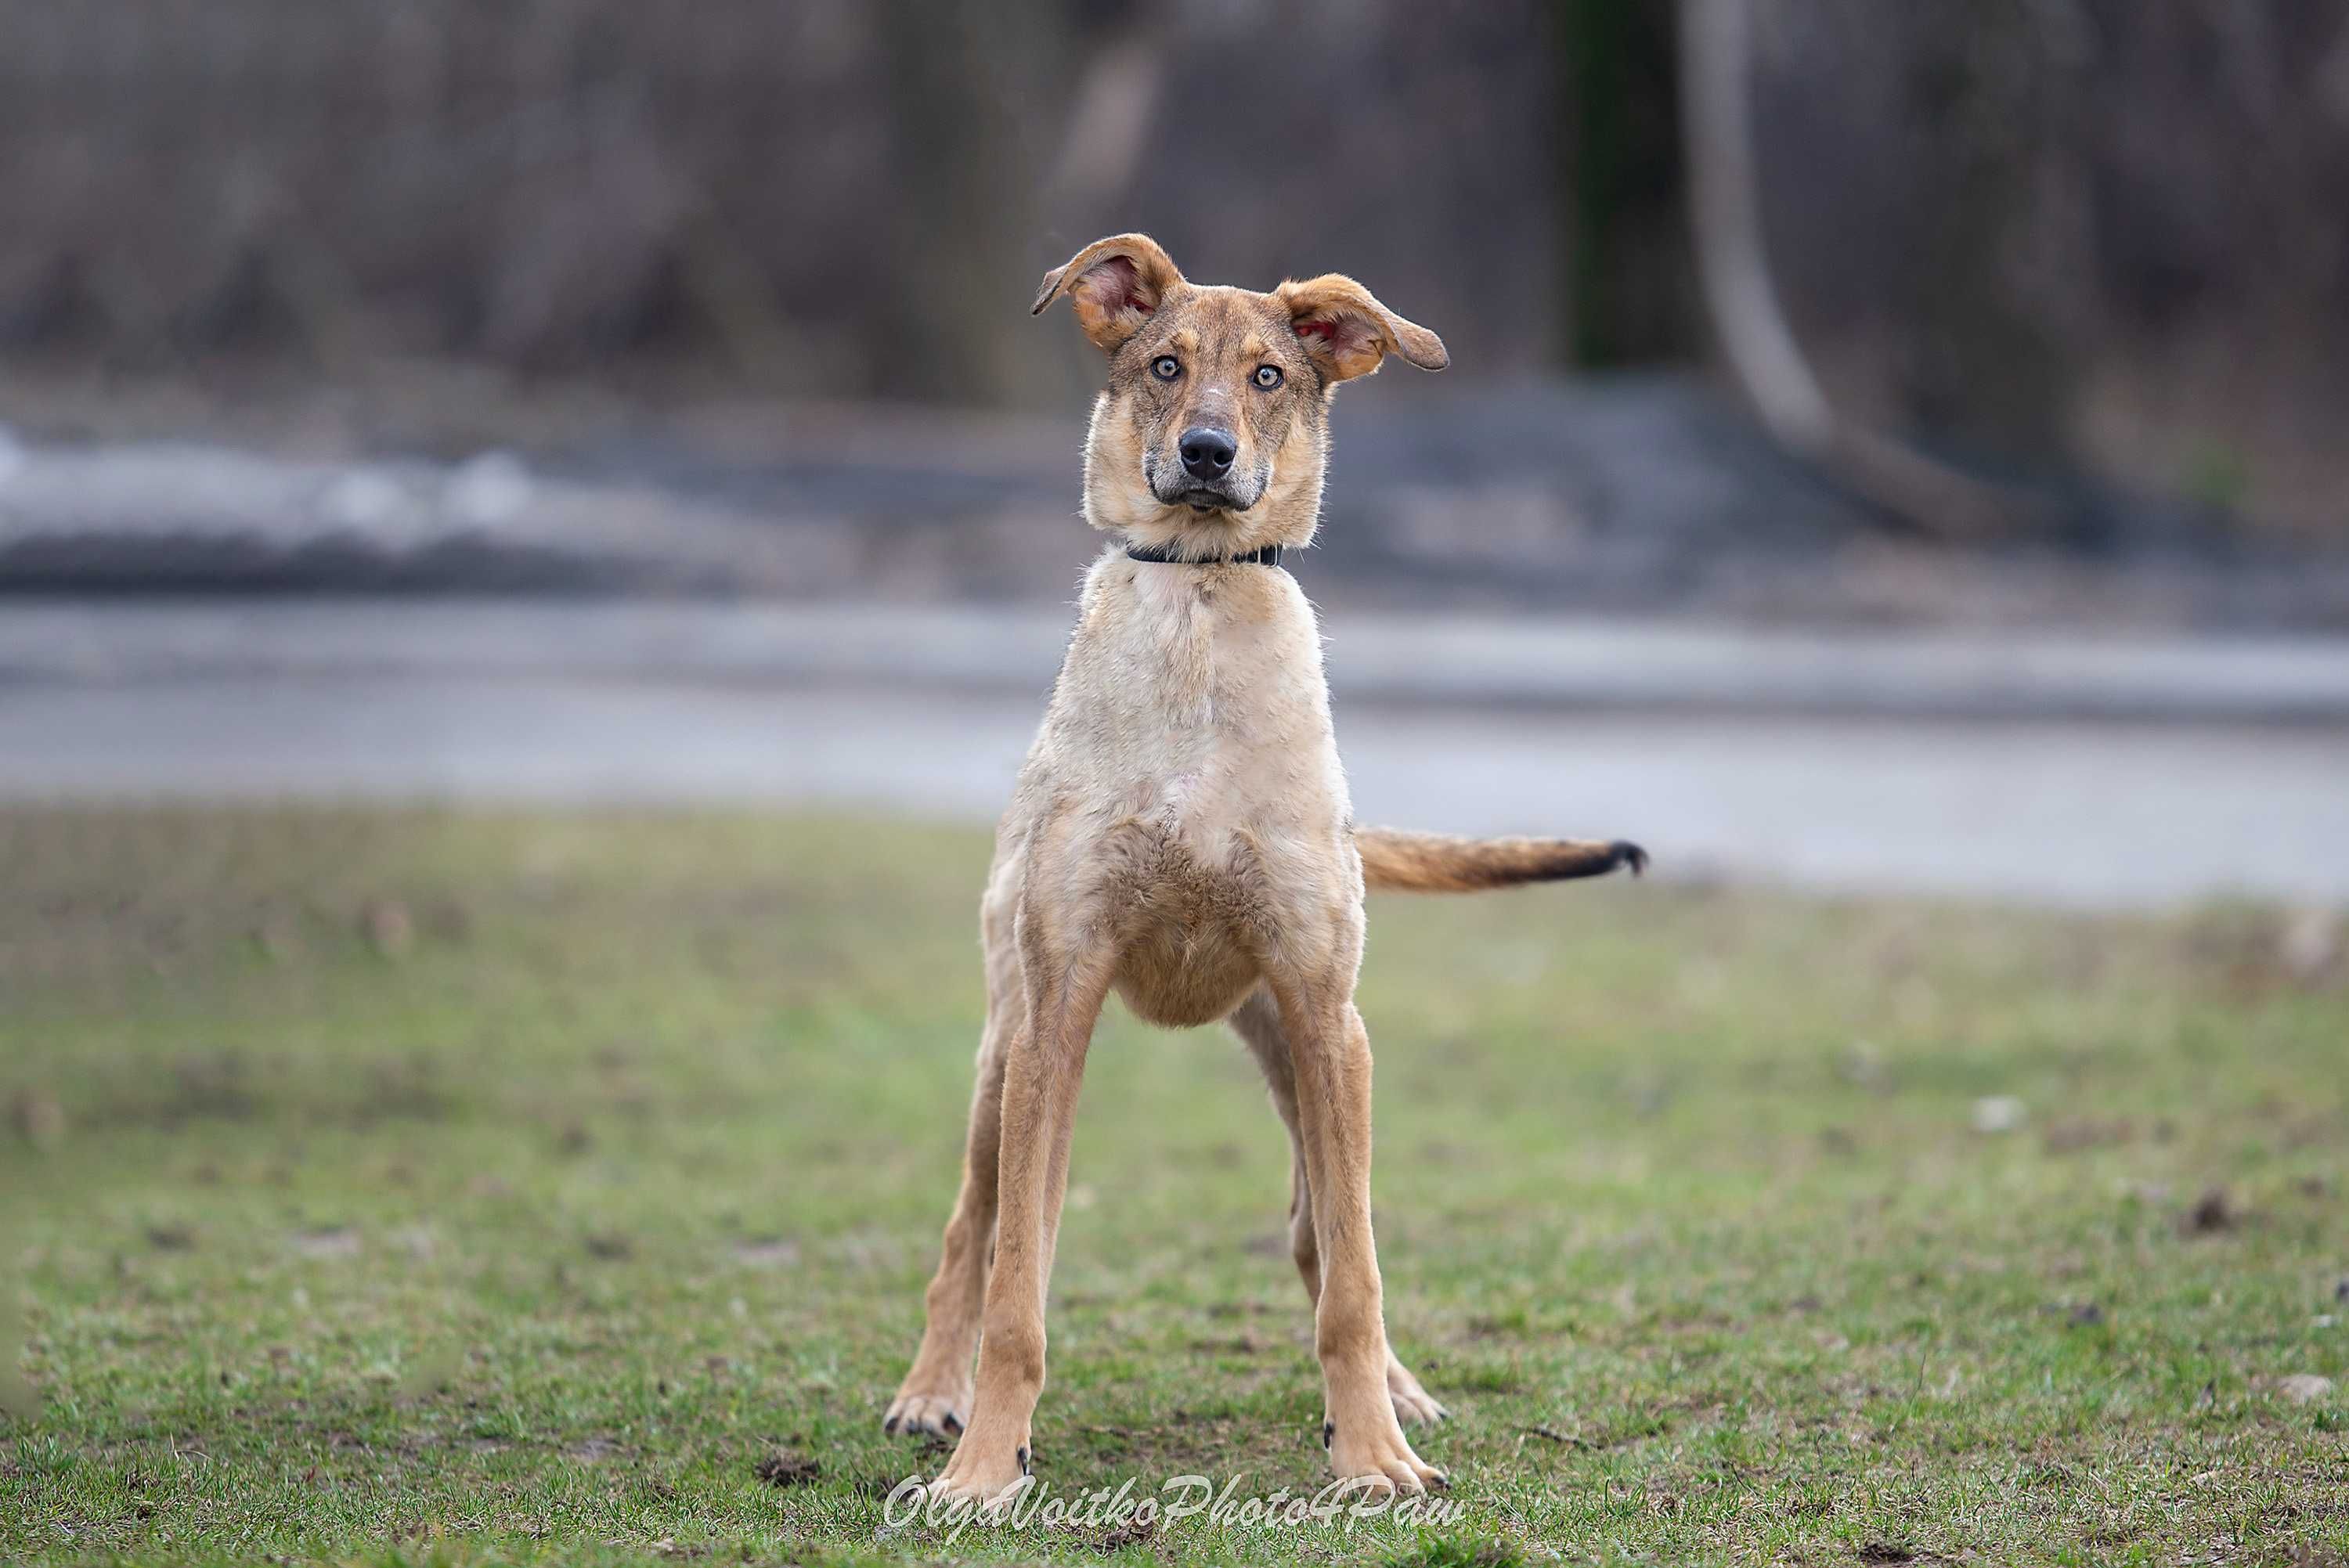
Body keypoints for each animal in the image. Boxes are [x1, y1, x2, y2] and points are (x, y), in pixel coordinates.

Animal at [888, 229, 1644, 1493]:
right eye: (1164, 364)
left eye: (1270, 377)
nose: (1206, 451)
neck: (1198, 599)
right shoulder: (1058, 1010)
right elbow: (1016, 1284)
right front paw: (987, 1467)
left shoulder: (1326, 1007)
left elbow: (1355, 1270)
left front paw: (1374, 1454)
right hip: (1005, 1050)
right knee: (973, 1227)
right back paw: (929, 1391)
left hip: (1297, 1048)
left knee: (1318, 1230)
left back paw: (1391, 1393)